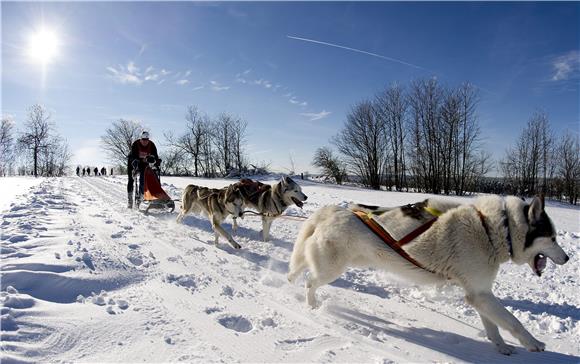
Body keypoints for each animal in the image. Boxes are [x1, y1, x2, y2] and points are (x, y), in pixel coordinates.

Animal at [288, 195, 568, 354]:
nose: (566, 259)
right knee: (310, 282)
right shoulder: (481, 294)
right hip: (331, 268)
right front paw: (533, 343)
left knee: (299, 272)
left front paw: (500, 347)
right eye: (552, 238)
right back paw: (312, 306)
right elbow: (513, 321)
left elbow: (493, 325)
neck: (494, 228)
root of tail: (335, 210)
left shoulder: (479, 294)